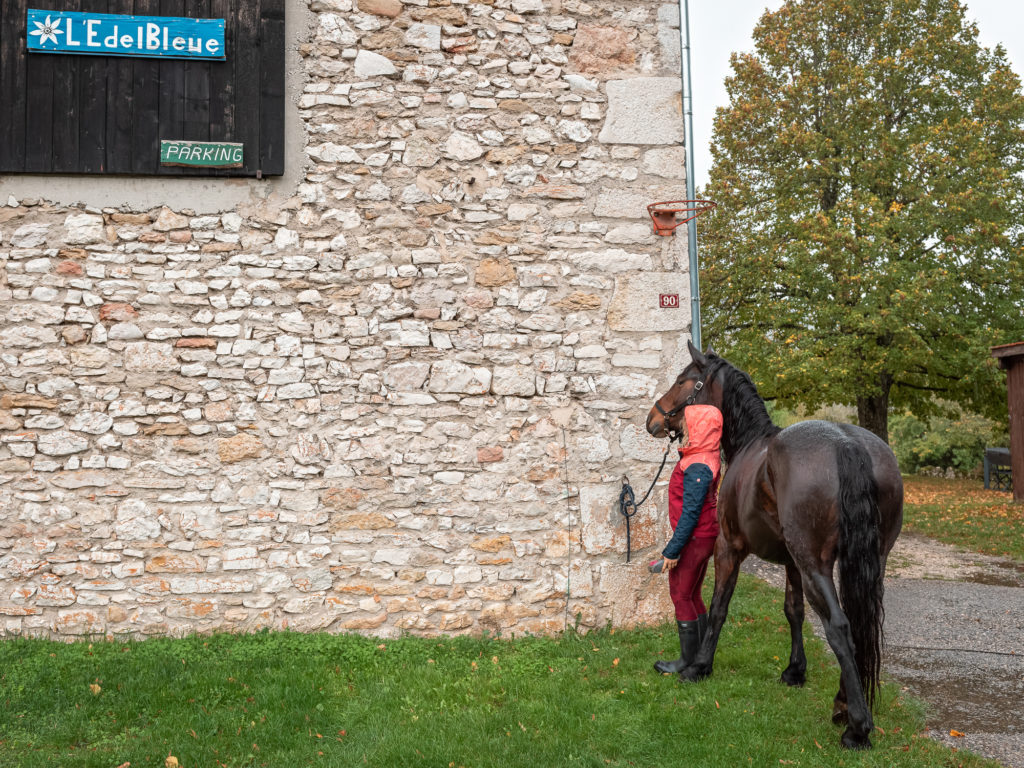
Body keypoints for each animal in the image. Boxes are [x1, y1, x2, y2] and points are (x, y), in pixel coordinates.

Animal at [647, 344, 905, 753]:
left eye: (682, 380)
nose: (653, 419)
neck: (752, 445)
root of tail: (846, 442)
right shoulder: (791, 563)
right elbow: (792, 611)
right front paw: (794, 671)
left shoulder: (729, 548)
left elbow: (719, 607)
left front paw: (698, 667)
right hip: (868, 562)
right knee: (859, 623)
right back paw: (843, 704)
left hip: (816, 565)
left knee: (839, 627)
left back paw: (857, 727)